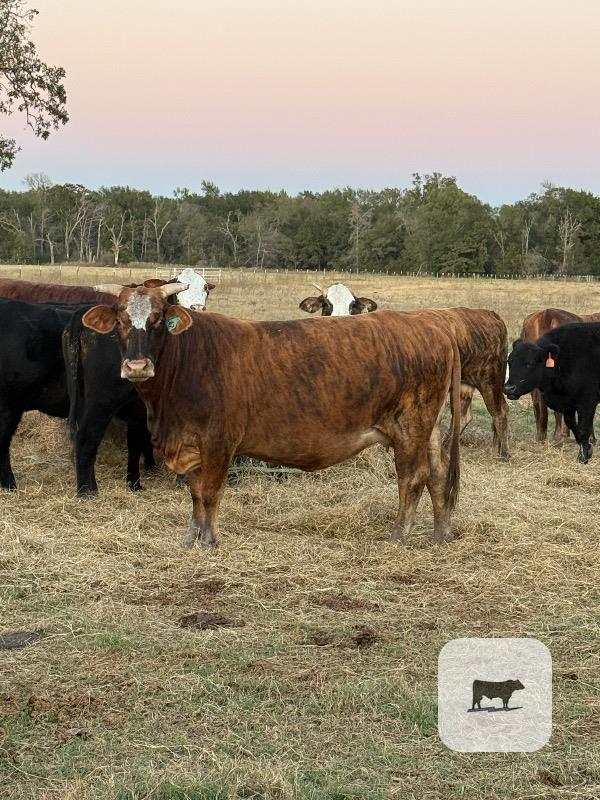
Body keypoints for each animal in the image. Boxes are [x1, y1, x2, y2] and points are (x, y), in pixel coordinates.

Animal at [81, 283, 463, 547]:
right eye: (121, 320)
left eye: (158, 319)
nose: (136, 366)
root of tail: (430, 325)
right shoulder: (191, 445)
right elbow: (195, 492)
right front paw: (192, 537)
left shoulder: (219, 441)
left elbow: (210, 492)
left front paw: (209, 539)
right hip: (427, 427)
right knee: (438, 474)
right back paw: (439, 532)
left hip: (409, 427)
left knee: (412, 477)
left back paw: (398, 535)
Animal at [505, 322, 600, 463]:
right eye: (509, 361)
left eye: (530, 363)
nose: (509, 388)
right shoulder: (568, 404)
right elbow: (571, 424)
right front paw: (588, 449)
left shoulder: (587, 402)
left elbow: (583, 429)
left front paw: (583, 457)